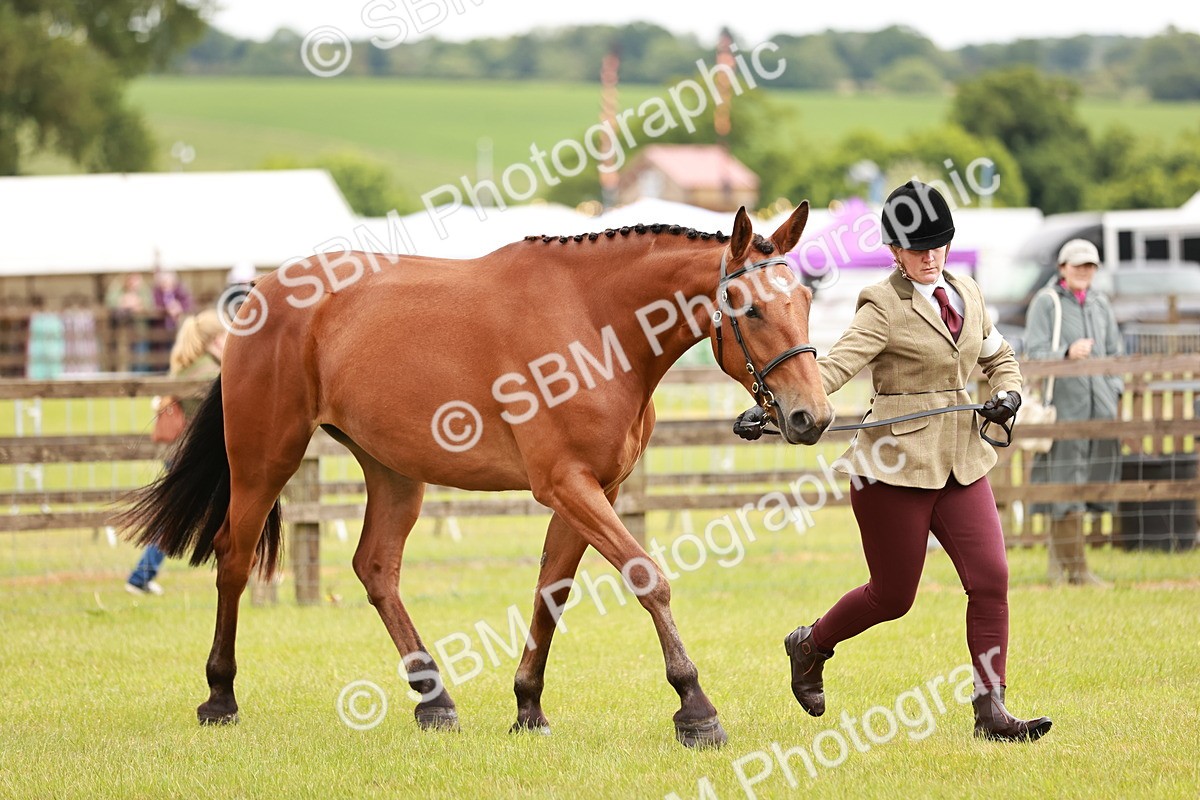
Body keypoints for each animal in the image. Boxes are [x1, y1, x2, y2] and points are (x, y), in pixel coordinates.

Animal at [118, 202, 833, 748]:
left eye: (803, 300)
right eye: (748, 307)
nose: (812, 415)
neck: (593, 322)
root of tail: (257, 297)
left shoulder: (591, 491)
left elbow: (551, 593)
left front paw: (528, 705)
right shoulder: (568, 486)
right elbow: (646, 577)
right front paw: (695, 706)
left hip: (393, 473)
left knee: (376, 568)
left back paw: (433, 698)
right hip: (265, 459)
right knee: (233, 558)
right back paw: (220, 695)